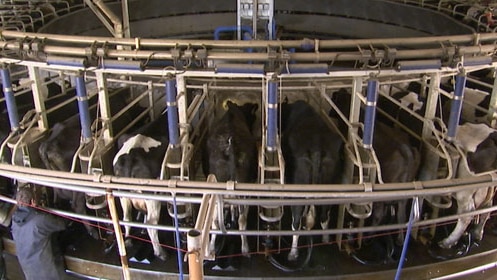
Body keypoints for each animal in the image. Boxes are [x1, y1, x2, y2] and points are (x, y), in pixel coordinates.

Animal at [112, 110, 169, 262]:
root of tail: (130, 159)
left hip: (123, 195)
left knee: (126, 218)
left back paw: (128, 241)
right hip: (152, 197)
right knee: (151, 223)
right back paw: (160, 252)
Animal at [280, 99, 342, 262]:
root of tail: (316, 150)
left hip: (298, 189)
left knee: (295, 222)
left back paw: (293, 253)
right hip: (330, 186)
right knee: (324, 216)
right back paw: (326, 239)